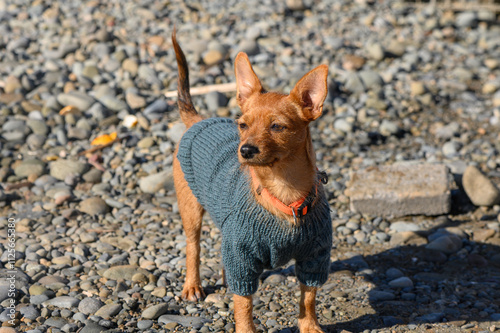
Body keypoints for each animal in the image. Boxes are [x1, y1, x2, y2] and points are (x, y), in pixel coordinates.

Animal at [172, 29, 332, 332]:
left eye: (277, 126)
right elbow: (243, 305)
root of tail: (197, 120)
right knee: (192, 247)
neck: (284, 190)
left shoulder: (314, 258)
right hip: (191, 210)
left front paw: (310, 326)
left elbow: (308, 299)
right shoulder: (243, 261)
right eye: (243, 125)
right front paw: (245, 328)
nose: (245, 150)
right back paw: (192, 285)